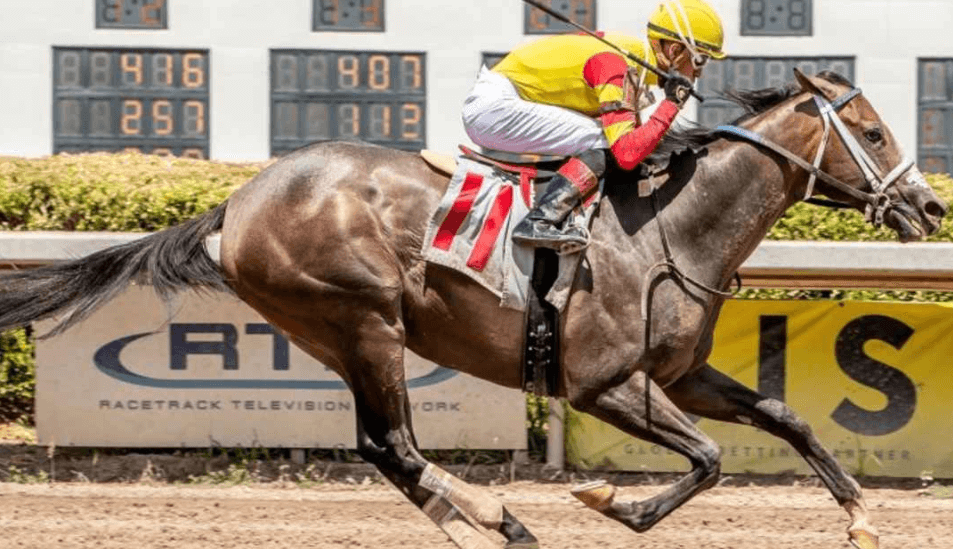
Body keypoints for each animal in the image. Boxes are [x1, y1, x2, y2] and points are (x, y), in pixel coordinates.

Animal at [0, 69, 944, 549]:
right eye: (873, 131)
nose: (928, 207)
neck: (669, 228)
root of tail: (237, 202)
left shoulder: (679, 374)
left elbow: (784, 416)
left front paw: (861, 513)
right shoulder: (600, 383)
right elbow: (710, 458)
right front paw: (614, 502)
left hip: (337, 333)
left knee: (382, 448)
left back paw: (487, 525)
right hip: (364, 319)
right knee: (392, 442)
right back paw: (495, 515)